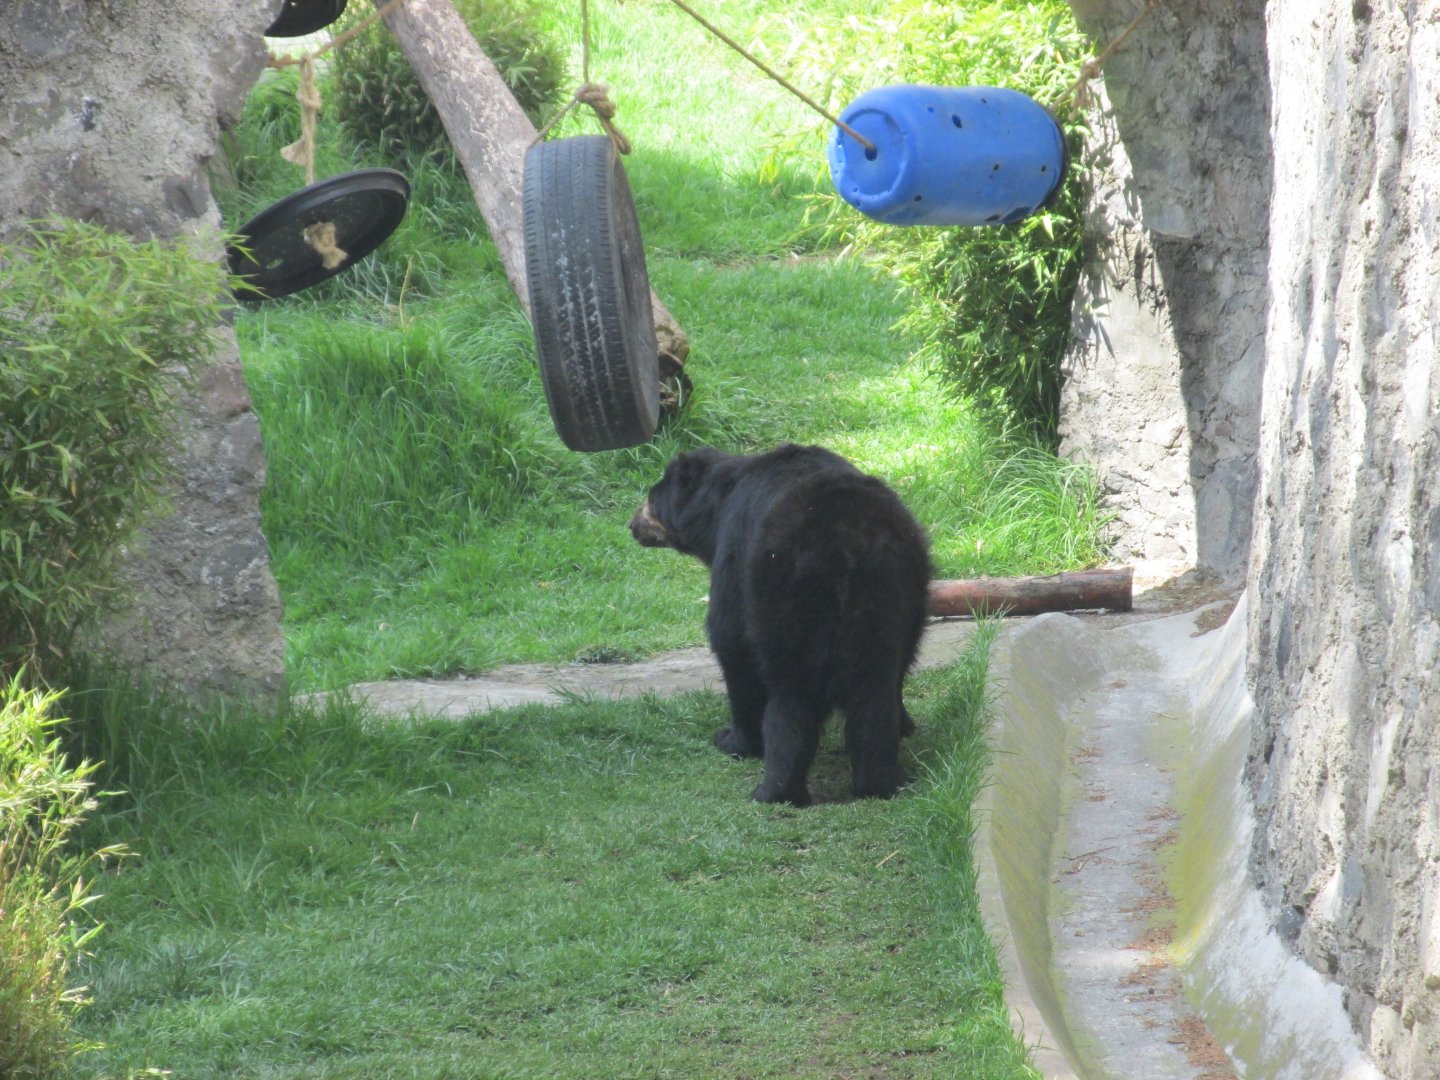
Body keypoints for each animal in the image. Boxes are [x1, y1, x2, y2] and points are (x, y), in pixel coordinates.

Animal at [629, 444, 931, 806]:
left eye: (651, 498)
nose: (631, 525)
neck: (721, 500)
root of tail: (844, 552)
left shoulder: (734, 552)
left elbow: (730, 640)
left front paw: (732, 738)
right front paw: (905, 724)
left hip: (785, 597)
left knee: (791, 696)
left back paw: (775, 788)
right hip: (891, 593)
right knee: (875, 687)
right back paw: (882, 781)